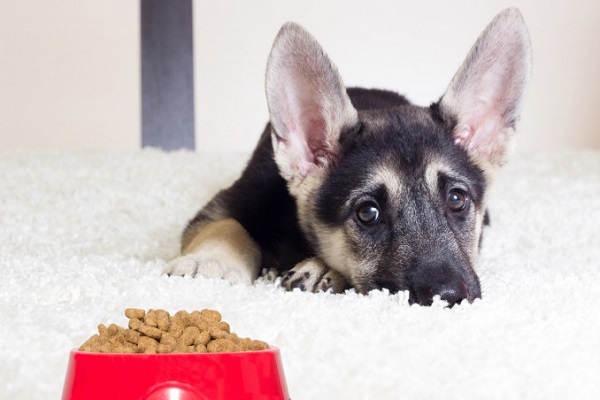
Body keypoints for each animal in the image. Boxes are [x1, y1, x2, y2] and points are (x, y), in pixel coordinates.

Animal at [166, 9, 532, 308]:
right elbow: (227, 226)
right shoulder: (228, 202)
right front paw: (212, 263)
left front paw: (324, 268)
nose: (448, 297)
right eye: (368, 213)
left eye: (457, 199)